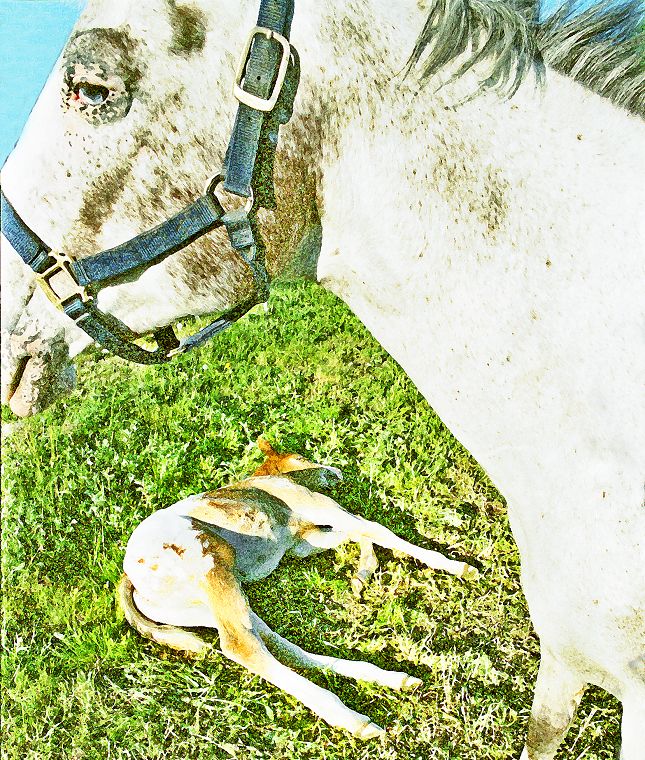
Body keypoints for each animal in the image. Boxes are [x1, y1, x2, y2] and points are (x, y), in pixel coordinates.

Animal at [119, 436, 479, 737]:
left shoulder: (302, 542)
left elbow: (356, 536)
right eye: (300, 456)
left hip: (211, 605)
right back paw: (353, 719)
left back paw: (390, 678)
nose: (335, 471)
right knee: (241, 645)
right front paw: (459, 567)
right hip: (213, 567)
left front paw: (362, 573)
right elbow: (376, 529)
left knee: (277, 645)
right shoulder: (317, 507)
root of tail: (129, 577)